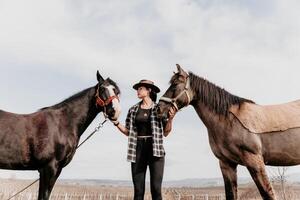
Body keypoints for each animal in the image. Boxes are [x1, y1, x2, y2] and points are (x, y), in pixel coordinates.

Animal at [0, 70, 120, 198]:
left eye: (117, 91)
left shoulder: (56, 169)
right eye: (102, 89)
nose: (115, 111)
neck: (62, 123)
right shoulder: (49, 168)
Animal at [157, 64, 300, 200]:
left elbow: (268, 194)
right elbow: (231, 194)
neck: (229, 120)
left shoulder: (254, 160)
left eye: (175, 84)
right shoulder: (226, 164)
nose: (158, 109)